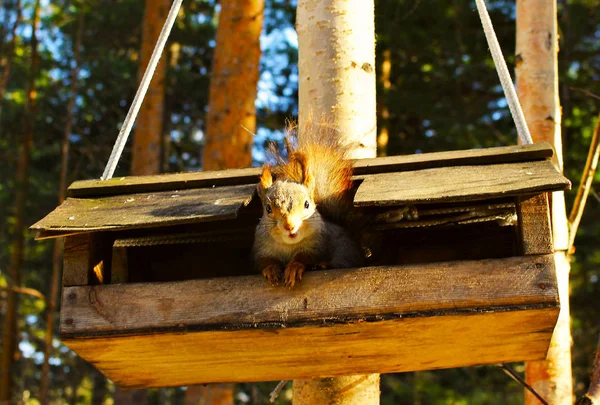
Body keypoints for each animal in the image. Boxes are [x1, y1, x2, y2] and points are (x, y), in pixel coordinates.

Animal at [252, 123, 364, 288]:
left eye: (306, 204)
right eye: (268, 209)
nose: (289, 226)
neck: (289, 245)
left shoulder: (317, 244)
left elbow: (305, 257)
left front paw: (294, 268)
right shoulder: (261, 248)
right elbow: (263, 261)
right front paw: (271, 269)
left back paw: (323, 265)